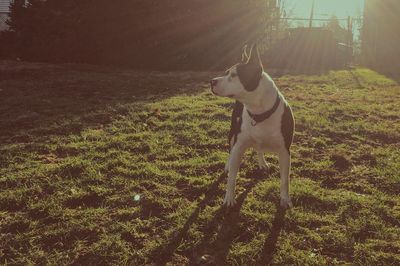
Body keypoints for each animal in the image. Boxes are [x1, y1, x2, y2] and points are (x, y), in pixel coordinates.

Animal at [209, 44, 294, 210]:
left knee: (259, 149)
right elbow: (232, 177)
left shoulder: (284, 151)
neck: (259, 113)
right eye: (226, 72)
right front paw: (229, 198)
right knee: (231, 150)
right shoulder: (238, 146)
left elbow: (284, 180)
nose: (212, 81)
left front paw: (285, 199)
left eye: (234, 75)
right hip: (232, 132)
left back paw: (262, 163)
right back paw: (228, 165)